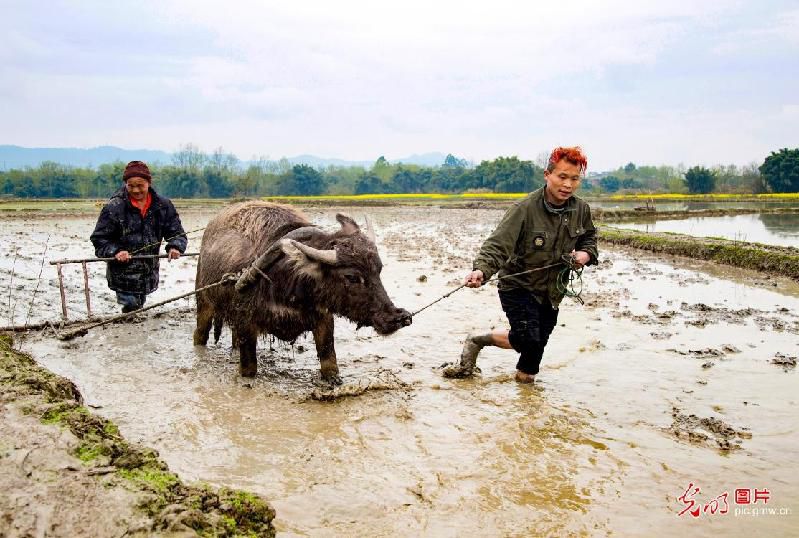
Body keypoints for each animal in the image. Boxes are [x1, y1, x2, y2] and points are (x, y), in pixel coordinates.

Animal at [194, 201, 412, 382]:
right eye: (352, 277)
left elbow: (329, 362)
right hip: (203, 303)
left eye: (379, 269)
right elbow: (249, 368)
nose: (398, 317)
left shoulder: (324, 319)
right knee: (200, 334)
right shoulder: (246, 323)